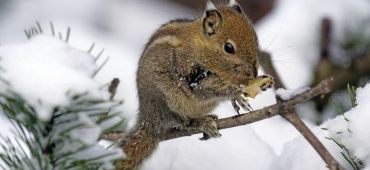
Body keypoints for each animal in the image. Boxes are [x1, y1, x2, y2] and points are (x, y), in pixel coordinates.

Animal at [115, 0, 274, 169]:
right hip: (168, 100)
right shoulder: (192, 76)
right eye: (228, 48)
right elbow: (210, 90)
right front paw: (237, 92)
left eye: (256, 38)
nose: (253, 73)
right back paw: (202, 123)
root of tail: (148, 119)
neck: (201, 46)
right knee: (181, 122)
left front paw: (260, 84)